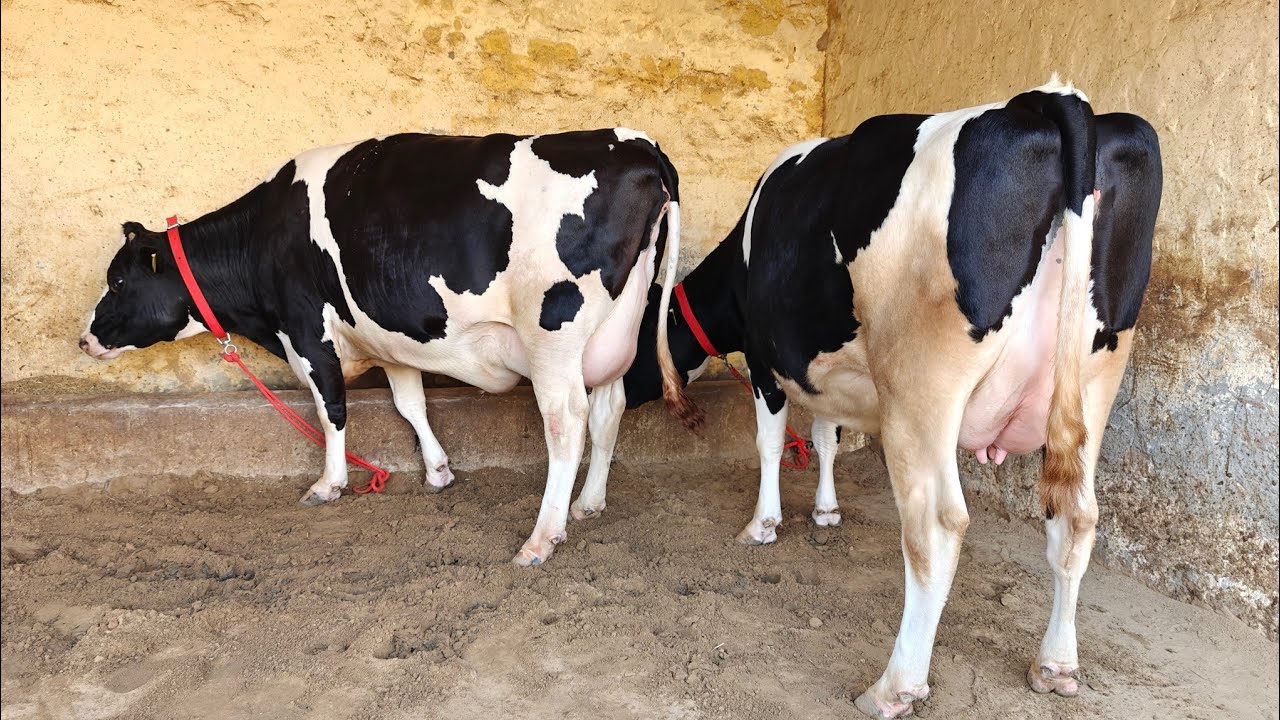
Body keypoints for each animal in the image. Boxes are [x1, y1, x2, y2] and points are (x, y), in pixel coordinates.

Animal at [80, 128, 699, 567]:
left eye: (117, 280)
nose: (84, 339)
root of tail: (638, 144)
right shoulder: (393, 342)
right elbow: (410, 402)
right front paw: (438, 471)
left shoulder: (307, 331)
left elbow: (331, 409)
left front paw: (328, 485)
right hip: (616, 329)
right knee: (609, 409)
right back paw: (588, 504)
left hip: (554, 331)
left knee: (566, 421)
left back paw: (542, 538)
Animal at [581, 78, 1163, 716]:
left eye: (634, 338)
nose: (597, 379)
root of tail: (1048, 101)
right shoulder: (828, 371)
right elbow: (825, 436)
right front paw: (826, 510)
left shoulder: (765, 357)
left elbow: (769, 442)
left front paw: (763, 524)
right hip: (1095, 382)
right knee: (1075, 517)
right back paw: (1056, 665)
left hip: (921, 387)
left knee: (936, 527)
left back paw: (894, 686)